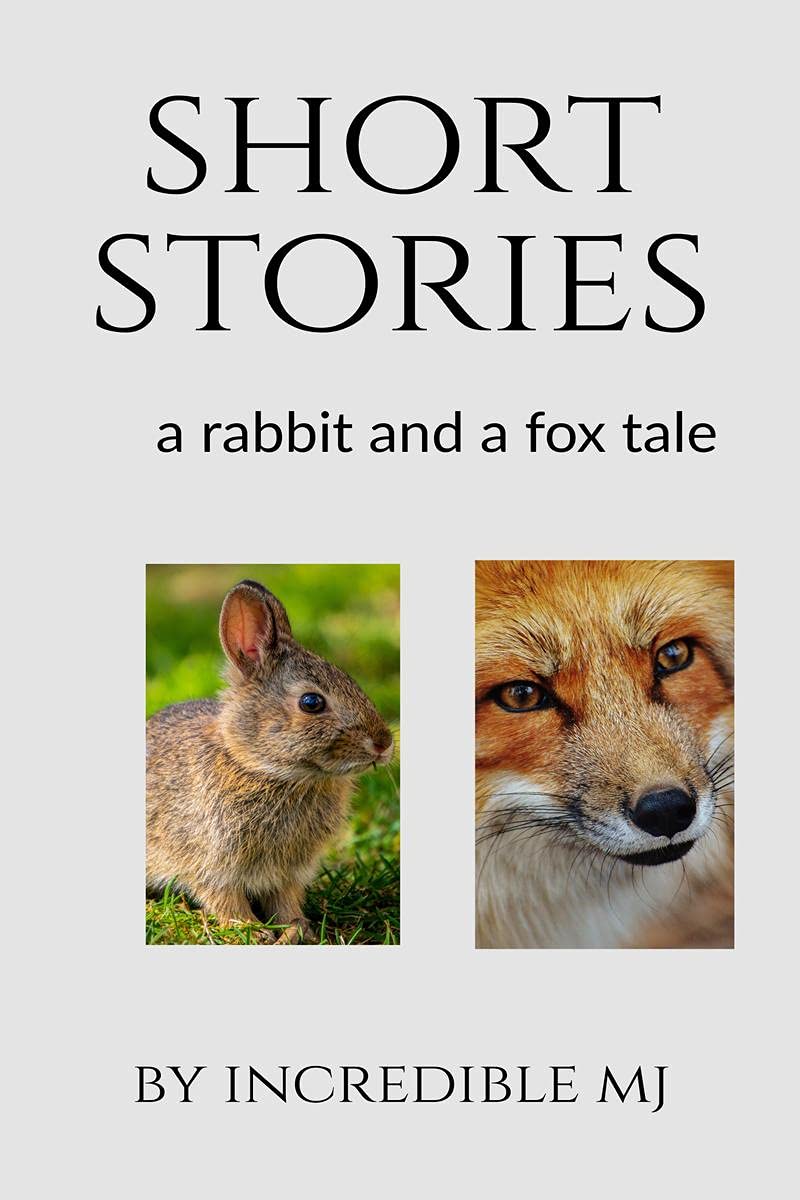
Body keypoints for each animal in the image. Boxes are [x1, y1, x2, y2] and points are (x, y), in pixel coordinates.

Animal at [146, 579, 394, 943]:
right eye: (311, 702)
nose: (383, 744)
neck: (261, 768)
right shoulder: (212, 863)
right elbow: (223, 899)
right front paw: (250, 929)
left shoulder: (287, 872)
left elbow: (285, 900)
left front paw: (299, 928)